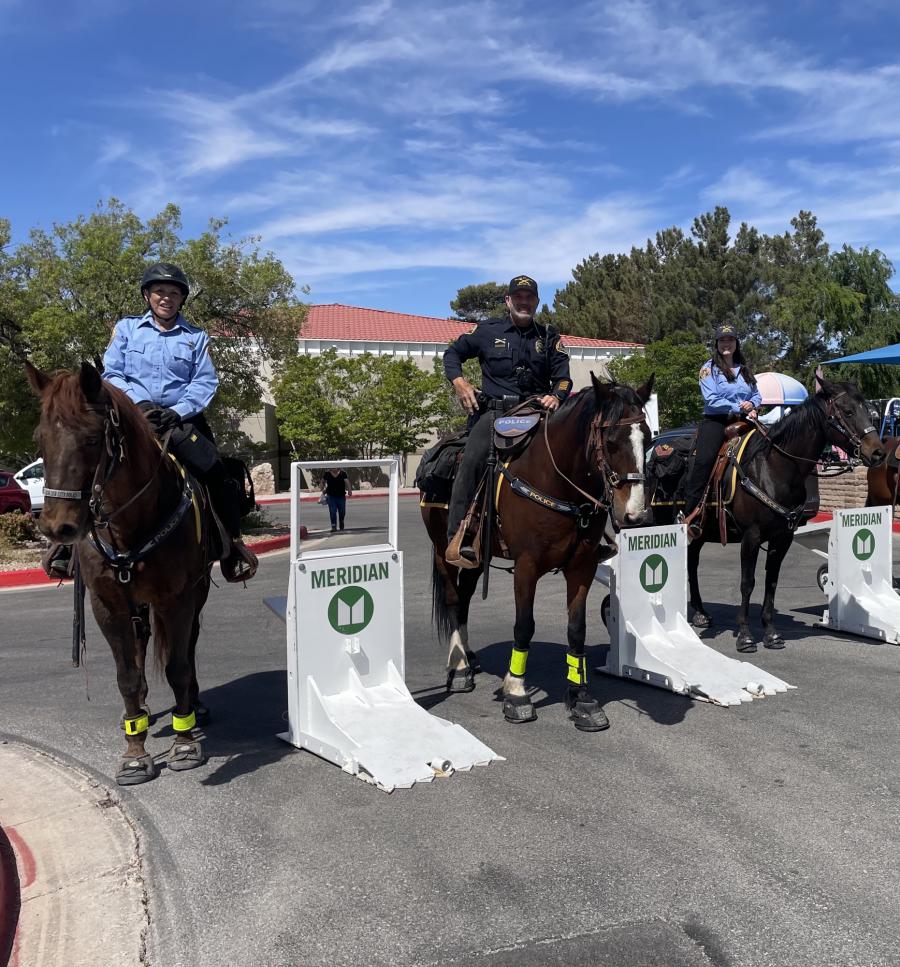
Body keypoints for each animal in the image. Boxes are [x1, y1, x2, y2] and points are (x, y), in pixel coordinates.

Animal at [27, 364, 214, 788]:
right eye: (40, 439)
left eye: (93, 438)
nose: (58, 527)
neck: (130, 525)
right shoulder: (107, 605)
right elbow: (126, 675)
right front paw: (134, 753)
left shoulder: (177, 599)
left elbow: (178, 666)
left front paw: (184, 744)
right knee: (141, 644)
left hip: (196, 593)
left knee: (189, 644)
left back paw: (195, 705)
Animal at [422, 378, 652, 732]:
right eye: (611, 442)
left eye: (650, 440)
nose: (635, 515)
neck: (556, 480)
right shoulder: (526, 566)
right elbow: (524, 626)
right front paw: (517, 693)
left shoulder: (582, 566)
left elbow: (576, 629)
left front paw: (581, 697)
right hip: (441, 548)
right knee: (451, 597)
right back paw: (459, 667)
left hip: (477, 557)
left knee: (464, 598)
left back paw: (469, 658)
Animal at [652, 378, 884, 652]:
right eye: (847, 412)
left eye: (868, 409)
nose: (878, 453)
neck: (774, 468)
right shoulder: (751, 537)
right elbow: (747, 582)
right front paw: (745, 636)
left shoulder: (782, 537)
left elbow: (771, 581)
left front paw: (771, 633)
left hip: (698, 534)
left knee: (692, 563)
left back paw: (700, 613)